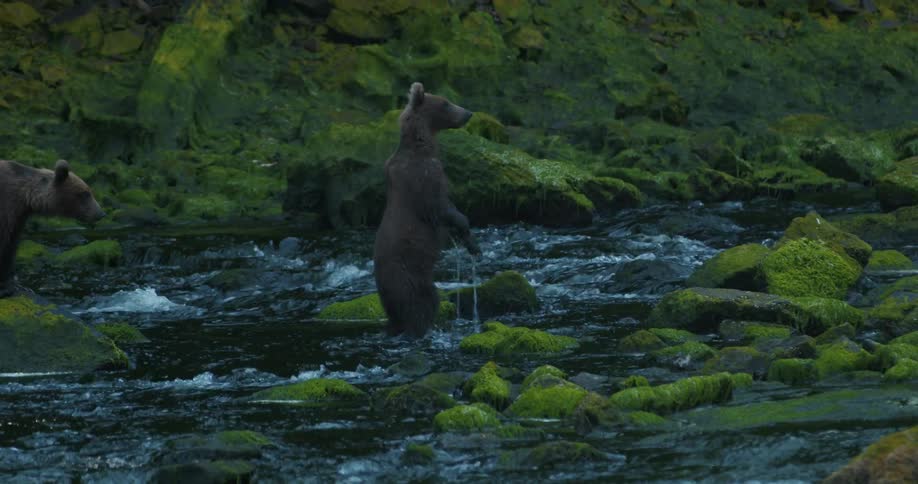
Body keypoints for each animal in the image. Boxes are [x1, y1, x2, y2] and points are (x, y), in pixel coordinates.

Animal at [0, 159, 106, 297]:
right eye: (84, 194)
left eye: (89, 192)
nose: (101, 213)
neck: (25, 197)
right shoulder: (6, 208)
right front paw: (7, 287)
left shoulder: (17, 218)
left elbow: (10, 246)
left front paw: (13, 285)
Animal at [373, 82, 480, 337]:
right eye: (446, 103)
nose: (468, 113)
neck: (423, 145)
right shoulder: (423, 179)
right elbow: (443, 207)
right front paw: (469, 236)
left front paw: (470, 242)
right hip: (410, 278)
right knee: (424, 304)